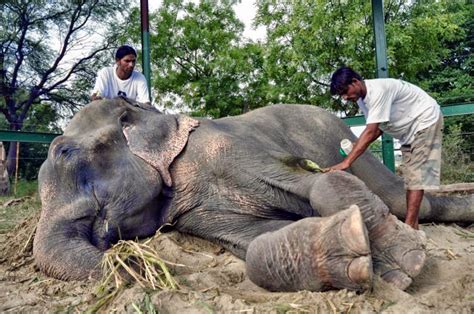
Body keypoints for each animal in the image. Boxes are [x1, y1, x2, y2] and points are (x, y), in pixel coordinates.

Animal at [31, 97, 472, 292]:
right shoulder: (195, 211)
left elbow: (317, 180)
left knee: (405, 198)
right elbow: (257, 242)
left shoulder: (227, 147)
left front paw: (406, 264)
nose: (137, 267)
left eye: (65, 152)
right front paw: (354, 254)